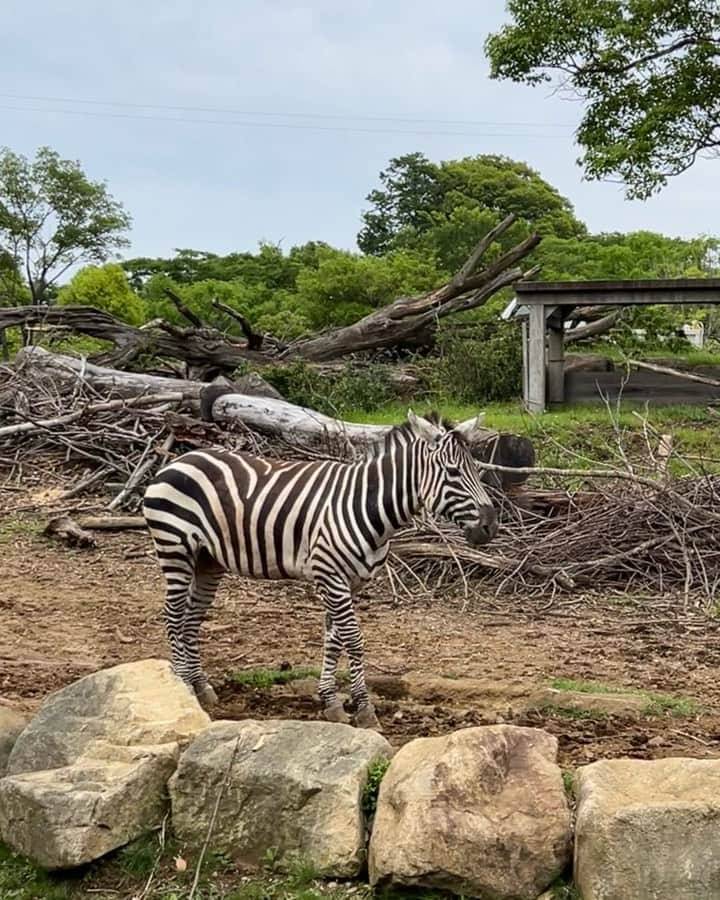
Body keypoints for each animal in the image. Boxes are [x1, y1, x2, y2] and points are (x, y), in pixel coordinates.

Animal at [143, 412, 498, 728]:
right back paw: (183, 686)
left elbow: (334, 638)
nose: (491, 526)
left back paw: (200, 686)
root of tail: (179, 459)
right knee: (173, 615)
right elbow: (353, 639)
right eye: (452, 472)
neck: (367, 506)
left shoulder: (349, 581)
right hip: (175, 548)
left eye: (477, 470)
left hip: (208, 560)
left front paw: (331, 702)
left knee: (191, 618)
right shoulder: (330, 574)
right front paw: (364, 708)